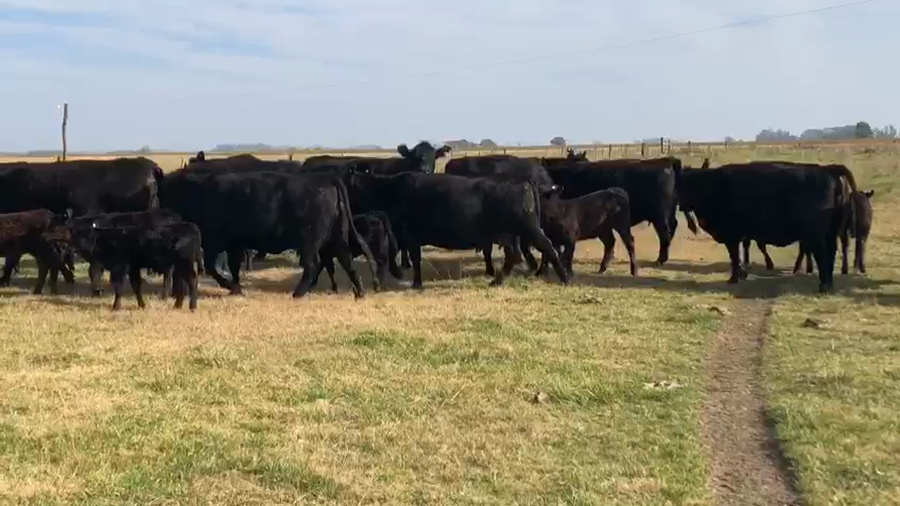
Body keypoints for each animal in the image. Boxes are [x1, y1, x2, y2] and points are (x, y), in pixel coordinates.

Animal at [68, 221, 204, 311]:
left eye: (84, 237)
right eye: (75, 237)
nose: (73, 250)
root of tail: (190, 226)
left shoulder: (119, 268)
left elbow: (119, 288)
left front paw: (116, 307)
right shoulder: (133, 268)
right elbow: (136, 286)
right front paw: (142, 305)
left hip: (185, 264)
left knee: (192, 281)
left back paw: (192, 307)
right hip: (180, 266)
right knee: (183, 284)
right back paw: (177, 305)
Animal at [159, 168, 378, 299]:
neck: (194, 192)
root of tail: (325, 179)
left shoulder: (214, 241)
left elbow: (214, 268)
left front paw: (234, 287)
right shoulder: (234, 243)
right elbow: (234, 266)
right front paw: (237, 288)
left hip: (309, 241)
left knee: (313, 265)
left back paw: (298, 293)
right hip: (335, 237)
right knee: (346, 259)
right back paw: (360, 292)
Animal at [346, 171, 569, 289]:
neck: (389, 190)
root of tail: (521, 180)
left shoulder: (409, 236)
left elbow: (412, 259)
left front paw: (414, 283)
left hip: (527, 229)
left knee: (548, 248)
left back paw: (564, 278)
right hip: (510, 235)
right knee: (514, 256)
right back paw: (496, 281)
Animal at [679, 162, 857, 293]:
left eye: (685, 185)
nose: (680, 206)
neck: (714, 185)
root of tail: (827, 169)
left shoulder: (732, 235)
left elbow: (735, 256)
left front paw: (734, 278)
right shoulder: (741, 235)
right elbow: (740, 254)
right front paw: (742, 274)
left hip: (816, 234)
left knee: (823, 253)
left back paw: (824, 286)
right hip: (831, 231)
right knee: (831, 252)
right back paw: (827, 284)